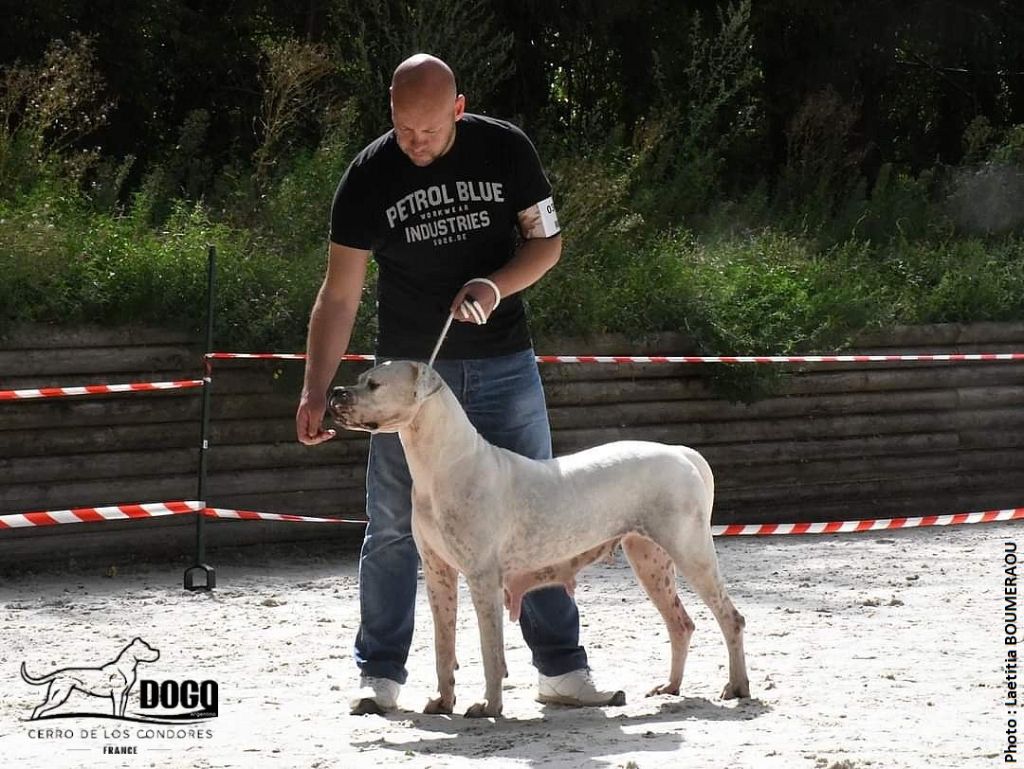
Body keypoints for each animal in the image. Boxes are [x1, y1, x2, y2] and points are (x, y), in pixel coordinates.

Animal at [331, 360, 749, 716]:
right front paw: (442, 701)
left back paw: (736, 687)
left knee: (731, 618)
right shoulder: (438, 575)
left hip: (691, 550)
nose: (336, 392)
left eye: (373, 384)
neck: (443, 467)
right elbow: (442, 646)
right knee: (681, 624)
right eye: (360, 378)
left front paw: (489, 707)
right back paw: (670, 686)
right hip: (649, 559)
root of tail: (682, 453)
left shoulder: (482, 578)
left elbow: (490, 650)